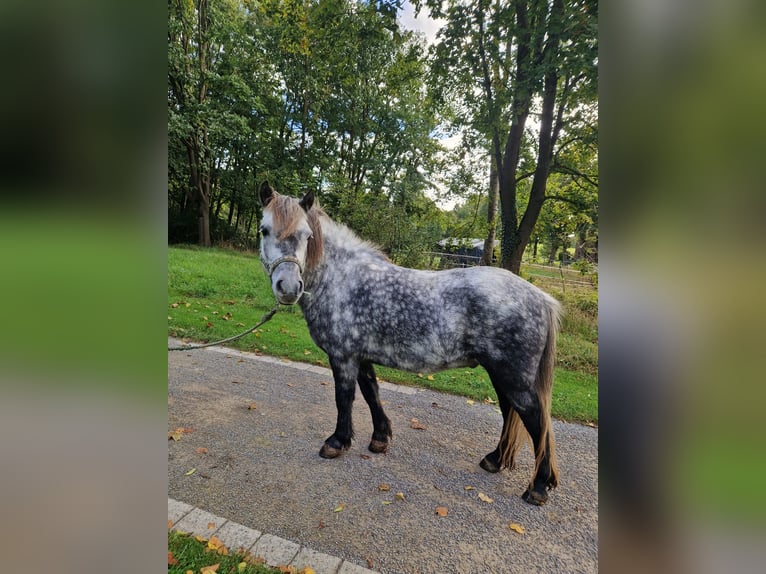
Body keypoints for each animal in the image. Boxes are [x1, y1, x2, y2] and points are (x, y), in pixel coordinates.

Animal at [258, 182, 564, 506]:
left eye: (307, 236)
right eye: (265, 230)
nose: (289, 287)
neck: (341, 279)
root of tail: (541, 298)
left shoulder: (343, 356)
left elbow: (345, 398)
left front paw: (337, 442)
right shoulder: (361, 356)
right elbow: (371, 393)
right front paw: (380, 439)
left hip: (513, 379)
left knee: (537, 422)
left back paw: (538, 487)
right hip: (501, 376)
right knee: (510, 414)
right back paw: (494, 460)